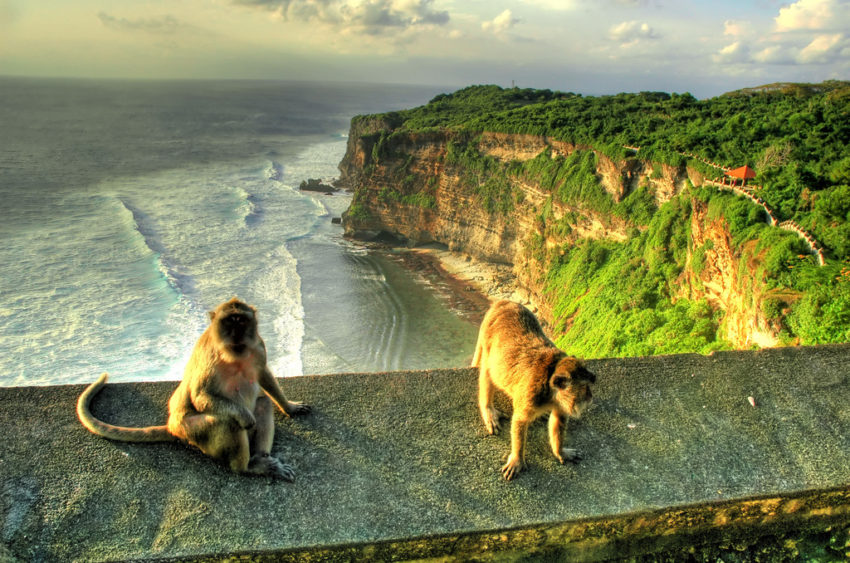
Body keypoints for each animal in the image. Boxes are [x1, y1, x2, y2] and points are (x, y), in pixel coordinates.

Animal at [78, 298, 310, 482]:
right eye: (229, 321)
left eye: (241, 321)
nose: (236, 334)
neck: (234, 356)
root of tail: (173, 426)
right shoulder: (210, 356)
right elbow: (200, 396)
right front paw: (245, 416)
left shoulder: (259, 347)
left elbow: (263, 375)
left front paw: (289, 407)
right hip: (194, 431)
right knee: (229, 421)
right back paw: (247, 466)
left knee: (262, 403)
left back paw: (262, 459)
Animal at [470, 302, 596, 482]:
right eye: (585, 388)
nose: (591, 397)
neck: (550, 390)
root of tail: (504, 303)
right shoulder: (531, 393)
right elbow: (520, 421)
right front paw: (517, 459)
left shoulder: (560, 402)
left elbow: (558, 421)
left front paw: (560, 452)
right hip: (488, 339)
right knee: (489, 371)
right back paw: (488, 409)